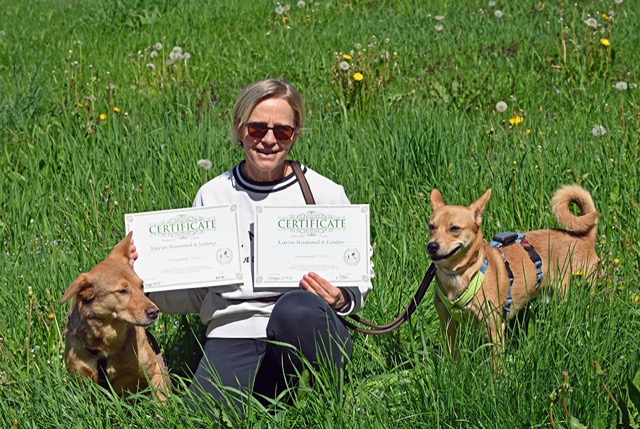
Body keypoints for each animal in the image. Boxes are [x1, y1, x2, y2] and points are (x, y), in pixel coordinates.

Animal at [60, 232, 171, 401]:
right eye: (122, 291)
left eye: (141, 285)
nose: (155, 312)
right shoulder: (83, 383)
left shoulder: (155, 370)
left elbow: (161, 400)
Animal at [426, 185, 599, 364]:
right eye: (431, 226)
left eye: (455, 229)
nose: (432, 246)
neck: (460, 275)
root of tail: (586, 237)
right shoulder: (448, 325)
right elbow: (454, 356)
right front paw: (456, 370)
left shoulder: (493, 327)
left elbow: (496, 363)